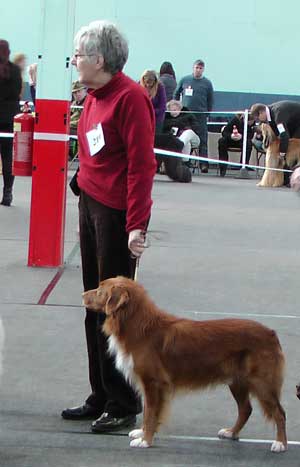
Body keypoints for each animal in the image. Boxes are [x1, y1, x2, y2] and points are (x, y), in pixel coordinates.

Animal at [82, 278, 288, 454]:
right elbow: (148, 410)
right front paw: (141, 433)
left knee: (279, 413)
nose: (83, 295)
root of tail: (271, 333)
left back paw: (280, 444)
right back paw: (231, 432)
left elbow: (151, 413)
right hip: (237, 381)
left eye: (100, 290)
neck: (137, 325)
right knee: (246, 409)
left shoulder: (153, 382)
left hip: (262, 382)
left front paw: (145, 441)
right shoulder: (150, 385)